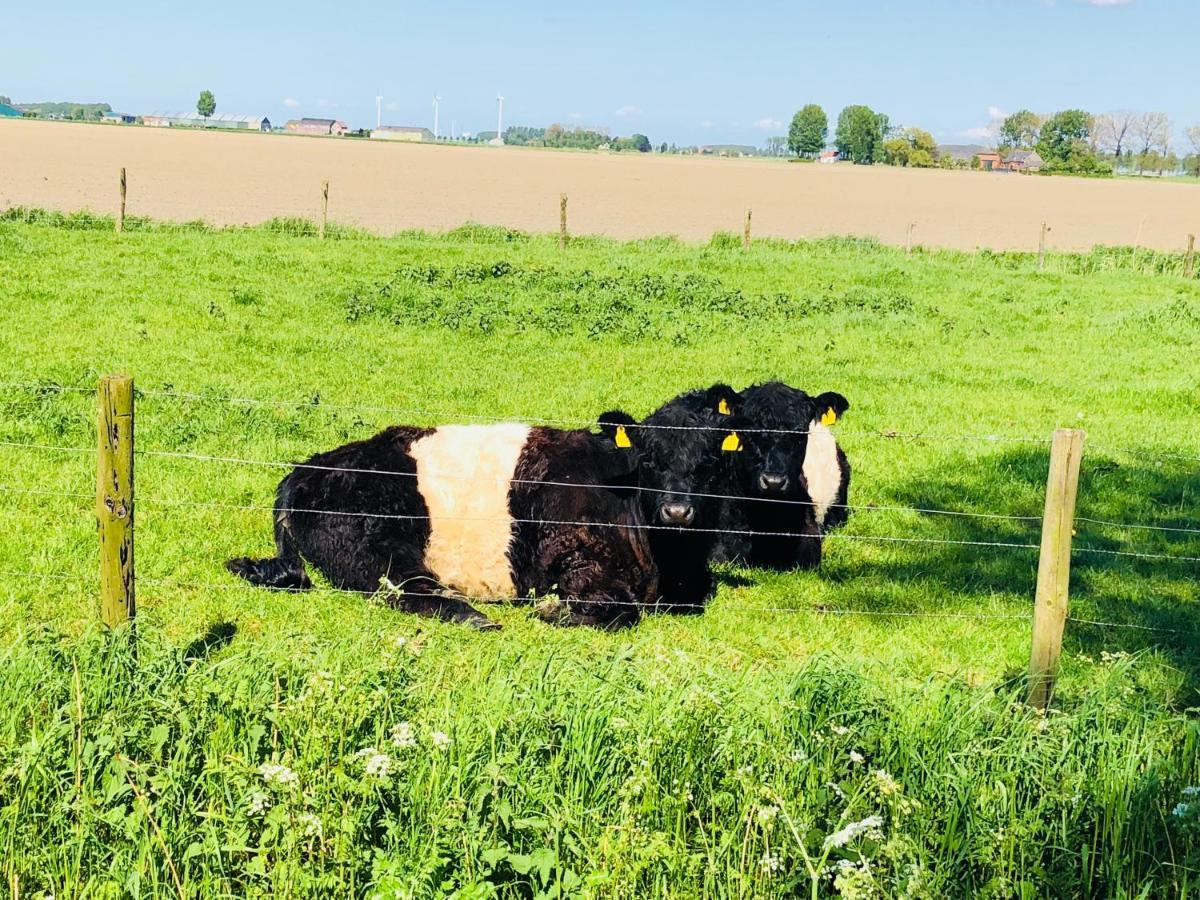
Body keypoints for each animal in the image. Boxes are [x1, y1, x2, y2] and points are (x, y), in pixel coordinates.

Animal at [225, 420, 657, 628]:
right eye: (654, 460)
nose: (673, 510)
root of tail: (305, 468)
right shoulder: (574, 553)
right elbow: (622, 611)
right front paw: (555, 611)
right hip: (372, 537)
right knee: (403, 588)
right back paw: (476, 618)